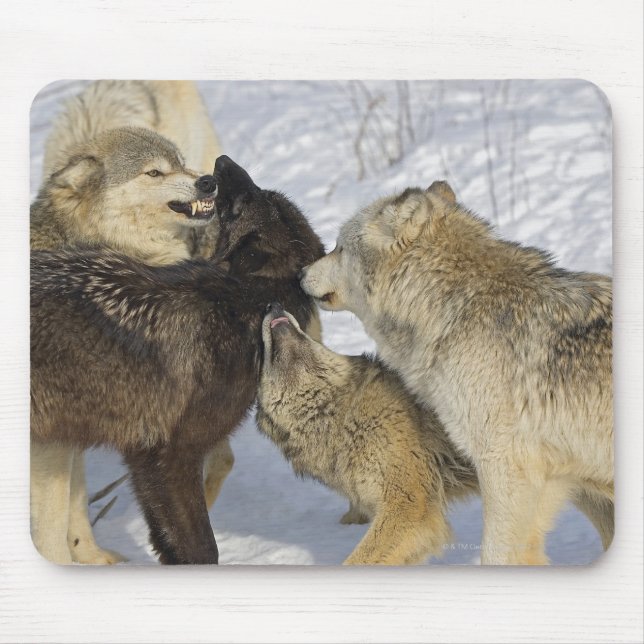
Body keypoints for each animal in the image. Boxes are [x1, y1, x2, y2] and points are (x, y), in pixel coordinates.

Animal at [300, 180, 614, 565]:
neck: (453, 308)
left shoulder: (504, 469)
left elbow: (495, 555)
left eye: (339, 247)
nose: (300, 273)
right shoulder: (553, 480)